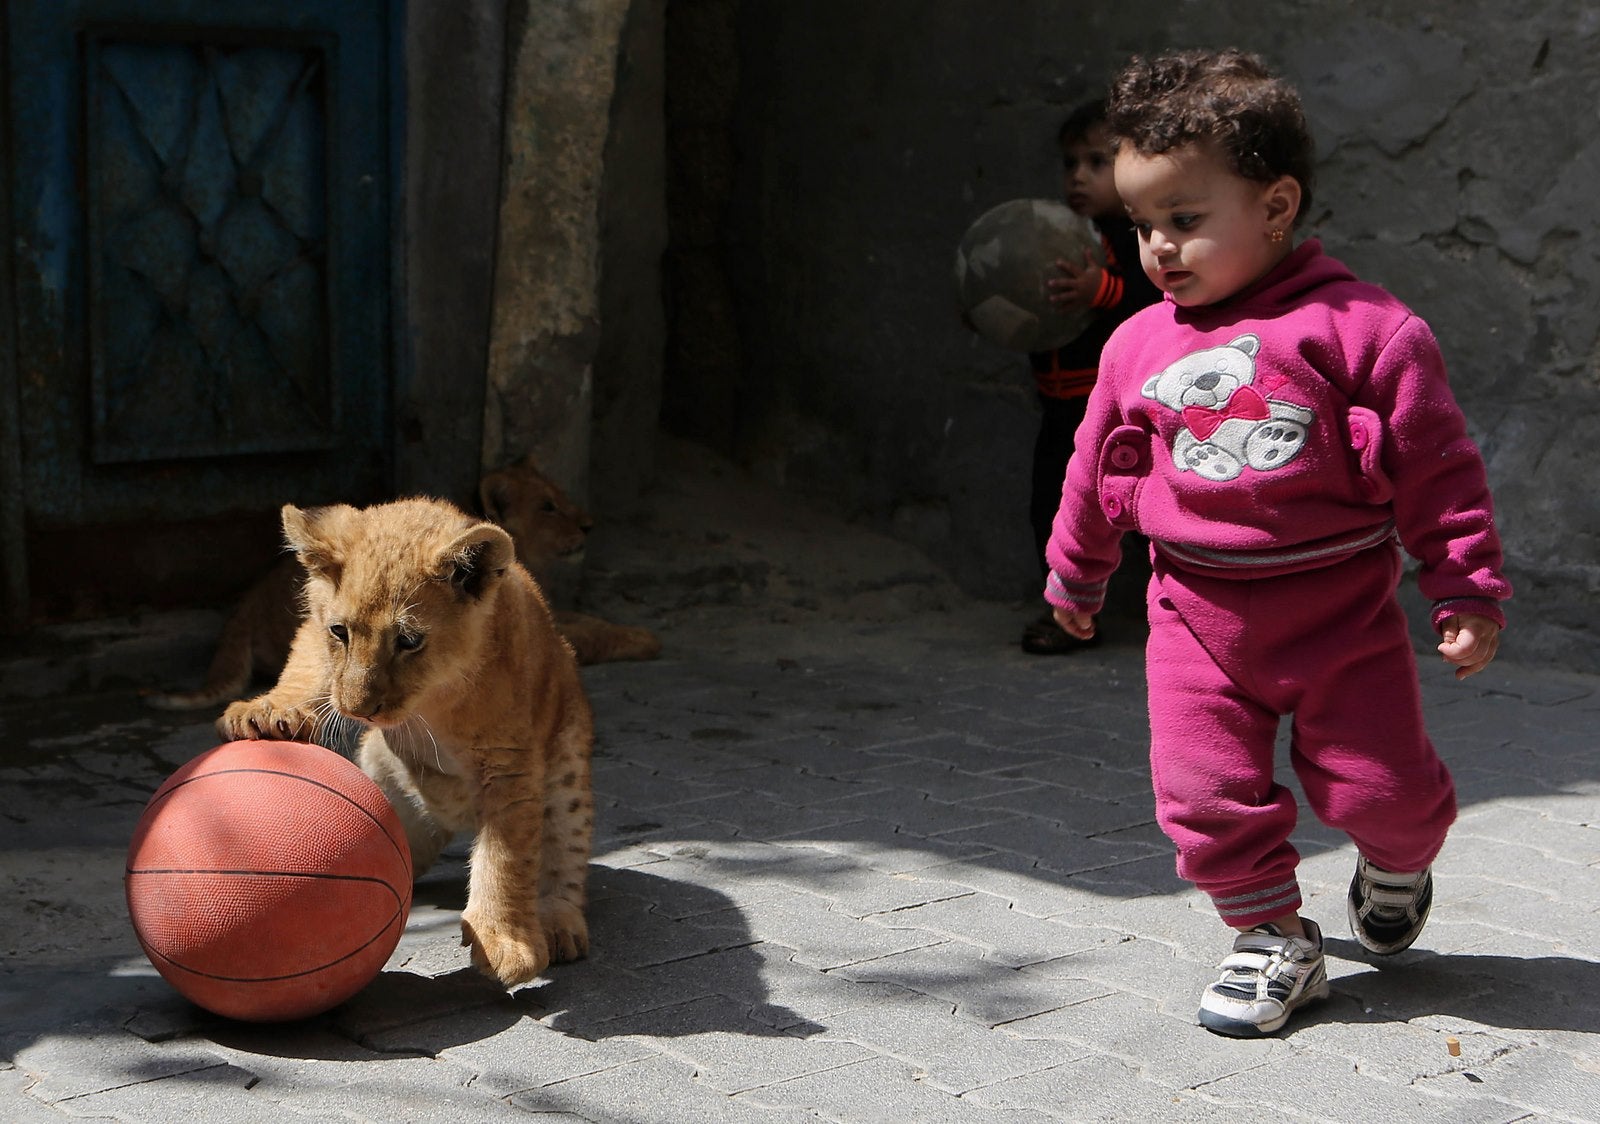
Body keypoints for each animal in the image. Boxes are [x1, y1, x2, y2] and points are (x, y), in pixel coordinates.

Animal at [145, 457, 658, 710]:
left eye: (561, 495)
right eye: (548, 507)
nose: (589, 524)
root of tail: (245, 607)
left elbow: (589, 619)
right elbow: (589, 633)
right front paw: (645, 639)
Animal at [217, 496, 593, 988]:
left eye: (408, 640)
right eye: (340, 632)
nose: (359, 710)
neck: (434, 697)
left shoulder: (509, 765)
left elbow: (506, 858)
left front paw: (504, 942)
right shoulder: (315, 629)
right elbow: (306, 663)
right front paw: (268, 711)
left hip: (567, 766)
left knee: (562, 853)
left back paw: (559, 924)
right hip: (384, 778)